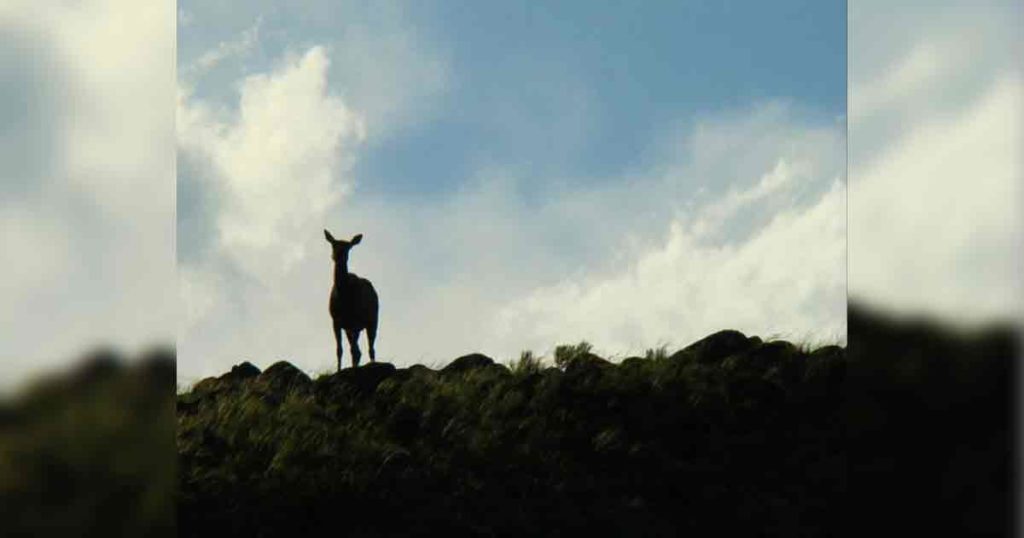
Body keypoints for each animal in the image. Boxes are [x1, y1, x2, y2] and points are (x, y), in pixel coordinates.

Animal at [324, 230, 379, 371]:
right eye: (333, 244)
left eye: (348, 247)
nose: (338, 255)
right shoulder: (336, 321)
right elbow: (339, 350)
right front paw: (338, 370)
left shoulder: (355, 320)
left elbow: (353, 350)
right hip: (351, 328)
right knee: (358, 350)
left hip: (373, 320)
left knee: (370, 348)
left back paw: (373, 364)